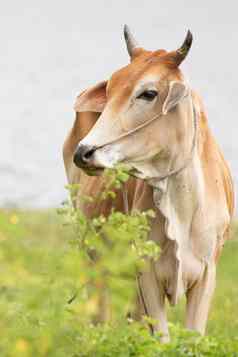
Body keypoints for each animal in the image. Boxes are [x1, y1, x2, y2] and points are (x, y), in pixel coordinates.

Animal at [63, 26, 234, 340]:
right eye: (110, 89)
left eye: (149, 93)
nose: (84, 152)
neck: (182, 208)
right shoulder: (147, 273)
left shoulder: (207, 274)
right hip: (94, 260)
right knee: (99, 317)